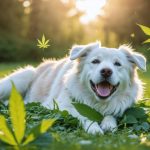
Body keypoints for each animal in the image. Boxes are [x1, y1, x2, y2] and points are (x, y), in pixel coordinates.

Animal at [0, 42, 146, 134]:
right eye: (95, 61)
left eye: (117, 64)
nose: (106, 71)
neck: (97, 102)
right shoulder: (59, 106)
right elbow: (82, 115)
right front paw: (94, 128)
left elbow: (111, 115)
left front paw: (109, 125)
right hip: (21, 78)